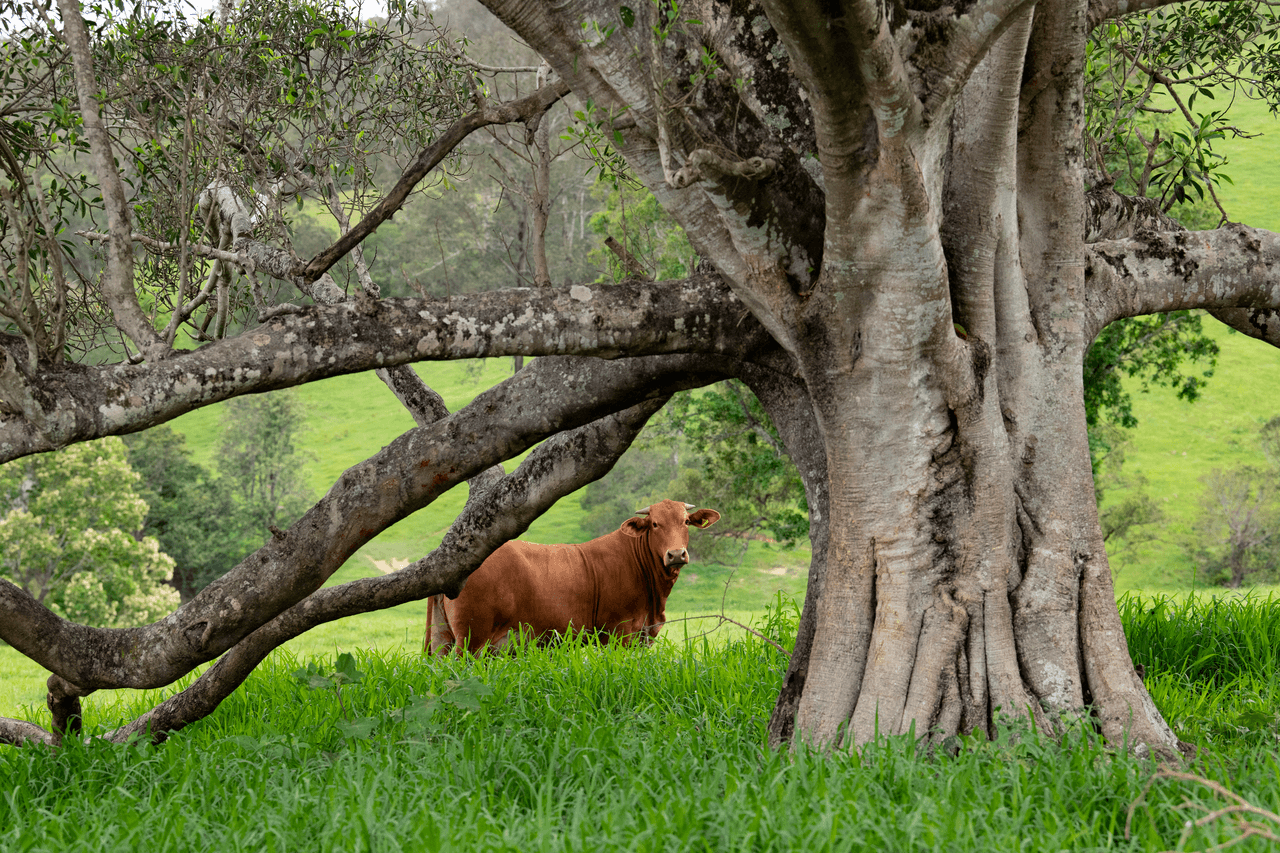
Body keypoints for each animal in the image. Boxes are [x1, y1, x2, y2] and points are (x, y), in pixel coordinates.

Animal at [422, 499, 716, 650]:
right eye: (655, 524)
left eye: (686, 522)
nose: (676, 554)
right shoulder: (618, 633)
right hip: (472, 639)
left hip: (442, 639)